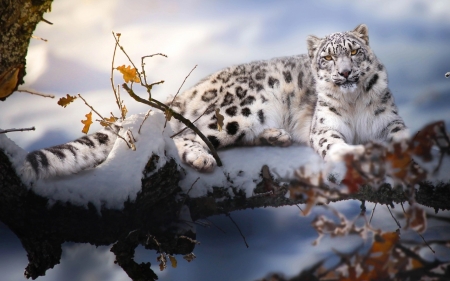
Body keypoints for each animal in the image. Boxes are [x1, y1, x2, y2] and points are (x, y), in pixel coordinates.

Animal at [20, 24, 408, 182]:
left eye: (354, 52)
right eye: (327, 57)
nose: (345, 73)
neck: (354, 104)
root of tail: (202, 84)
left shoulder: (388, 119)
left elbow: (401, 135)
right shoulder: (325, 126)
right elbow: (333, 142)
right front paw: (352, 153)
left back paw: (276, 136)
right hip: (237, 112)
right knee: (184, 136)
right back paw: (203, 158)